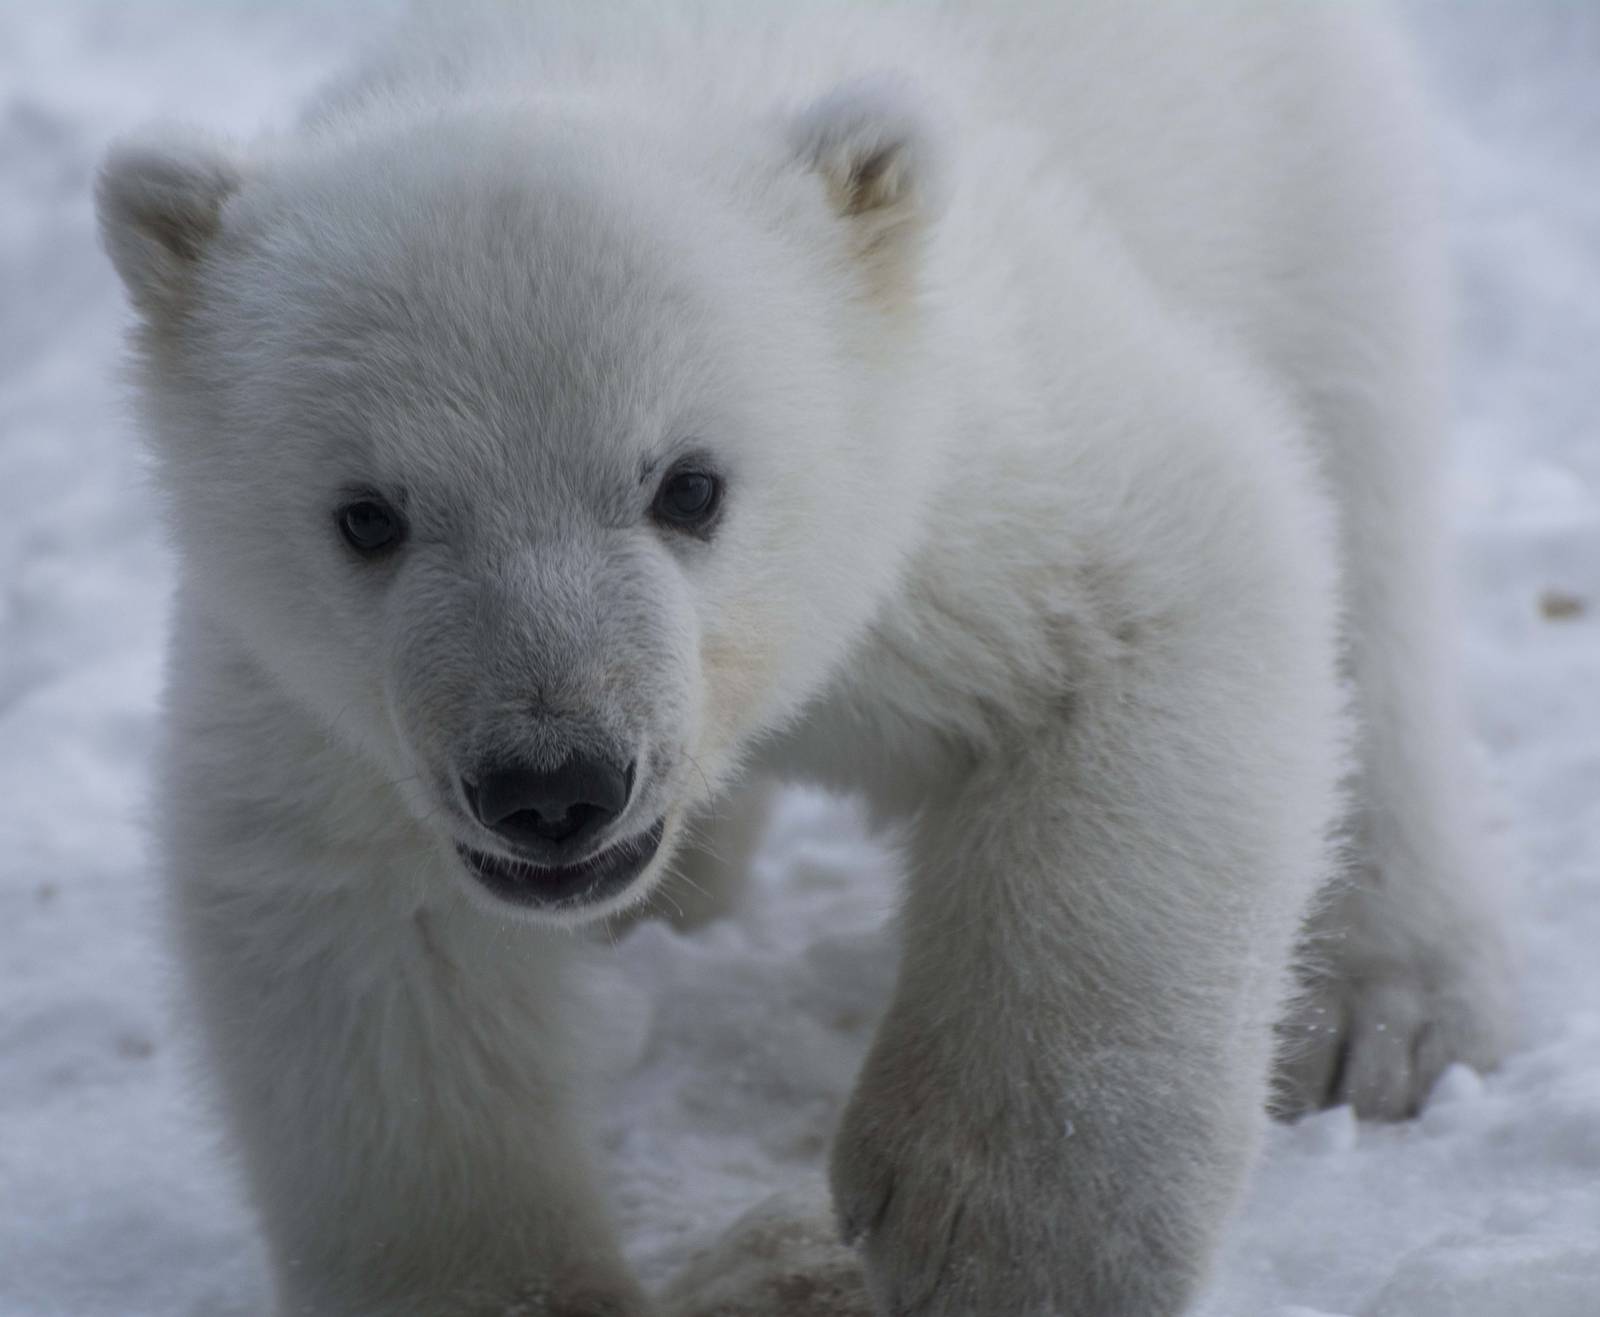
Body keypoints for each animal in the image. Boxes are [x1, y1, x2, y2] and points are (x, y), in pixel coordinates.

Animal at [96, 2, 1514, 1314]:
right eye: (367, 515)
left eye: (689, 485)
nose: (552, 786)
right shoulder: (320, 702)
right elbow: (356, 929)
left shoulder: (960, 478)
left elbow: (1172, 601)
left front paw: (996, 1237)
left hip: (1298, 179)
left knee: (1368, 514)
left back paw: (1386, 1010)